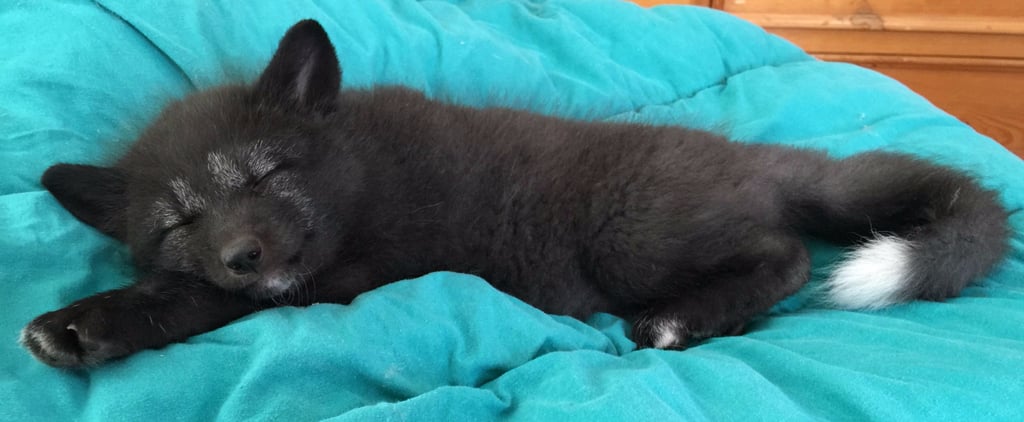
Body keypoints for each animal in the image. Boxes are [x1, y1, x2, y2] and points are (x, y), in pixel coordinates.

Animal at [22, 20, 1009, 368]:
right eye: (179, 220)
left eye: (269, 173)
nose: (242, 254)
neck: (359, 173)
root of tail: (756, 157)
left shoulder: (350, 276)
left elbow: (201, 302)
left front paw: (91, 322)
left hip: (631, 239)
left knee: (788, 256)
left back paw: (680, 320)